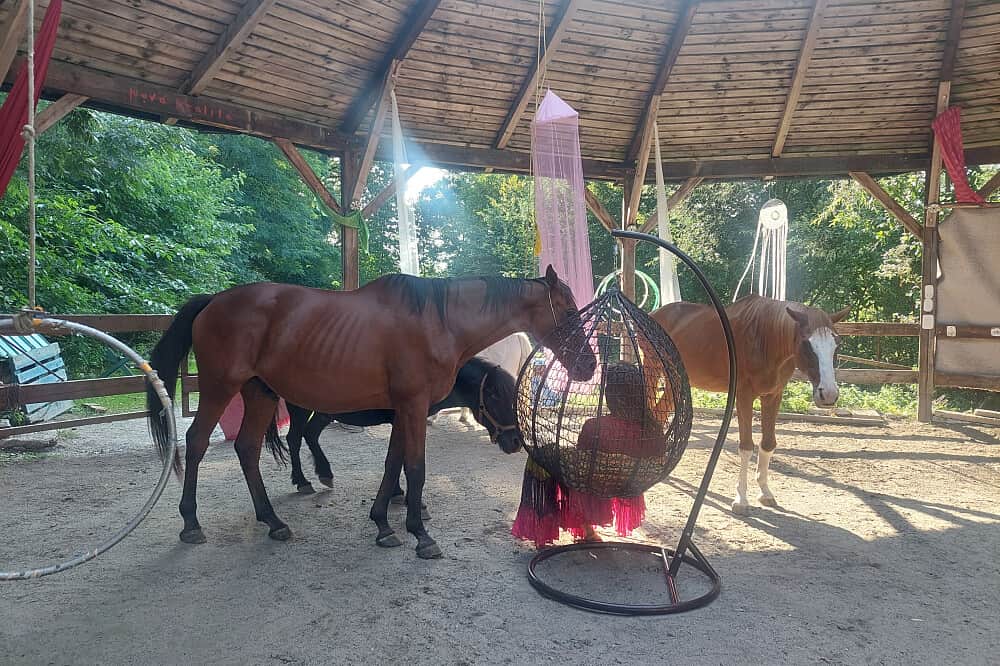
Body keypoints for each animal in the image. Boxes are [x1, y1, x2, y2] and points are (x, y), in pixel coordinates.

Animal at [284, 358, 521, 502]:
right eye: (494, 395)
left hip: (324, 411)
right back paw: (302, 481)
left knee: (310, 434)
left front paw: (395, 493)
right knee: (294, 438)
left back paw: (325, 473)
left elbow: (396, 459)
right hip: (299, 407)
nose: (516, 441)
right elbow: (399, 460)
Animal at [648, 294, 849, 514]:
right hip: (654, 372)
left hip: (675, 380)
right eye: (807, 343)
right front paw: (741, 499)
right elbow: (746, 446)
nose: (828, 394)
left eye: (837, 344)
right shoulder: (744, 395)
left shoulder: (773, 396)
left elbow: (768, 443)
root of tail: (655, 313)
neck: (765, 338)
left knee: (659, 413)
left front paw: (765, 493)